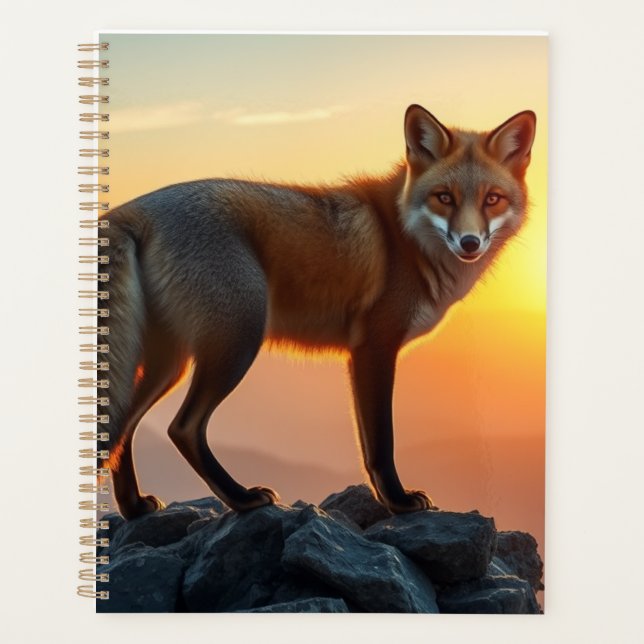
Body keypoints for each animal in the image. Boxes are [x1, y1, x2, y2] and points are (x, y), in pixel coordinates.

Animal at [99, 104, 536, 520]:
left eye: (492, 199)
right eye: (444, 197)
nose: (469, 242)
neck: (405, 239)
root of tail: (136, 207)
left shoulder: (359, 356)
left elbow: (367, 447)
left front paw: (385, 501)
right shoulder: (375, 347)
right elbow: (381, 442)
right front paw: (397, 503)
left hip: (167, 363)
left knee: (121, 429)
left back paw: (134, 508)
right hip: (236, 342)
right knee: (183, 428)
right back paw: (241, 500)